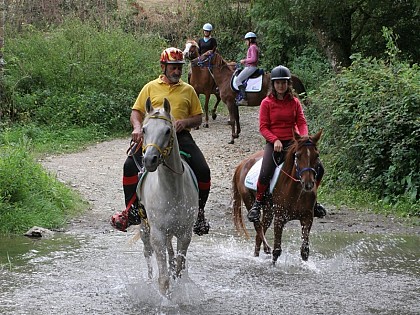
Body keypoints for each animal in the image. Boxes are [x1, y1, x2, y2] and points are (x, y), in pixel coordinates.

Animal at [136, 97, 199, 298]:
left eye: (167, 131)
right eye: (144, 129)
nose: (150, 160)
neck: (171, 192)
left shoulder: (185, 234)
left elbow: (178, 269)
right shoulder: (157, 234)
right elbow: (163, 279)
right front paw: (165, 298)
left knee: (172, 256)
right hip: (145, 228)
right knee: (147, 255)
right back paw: (148, 283)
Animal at [231, 129, 324, 264]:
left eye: (316, 155)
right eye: (298, 155)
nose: (308, 184)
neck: (296, 191)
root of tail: (242, 164)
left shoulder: (307, 218)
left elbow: (304, 251)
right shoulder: (280, 218)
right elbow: (277, 251)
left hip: (268, 210)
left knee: (259, 234)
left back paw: (258, 254)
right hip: (249, 200)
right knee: (258, 227)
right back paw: (266, 248)